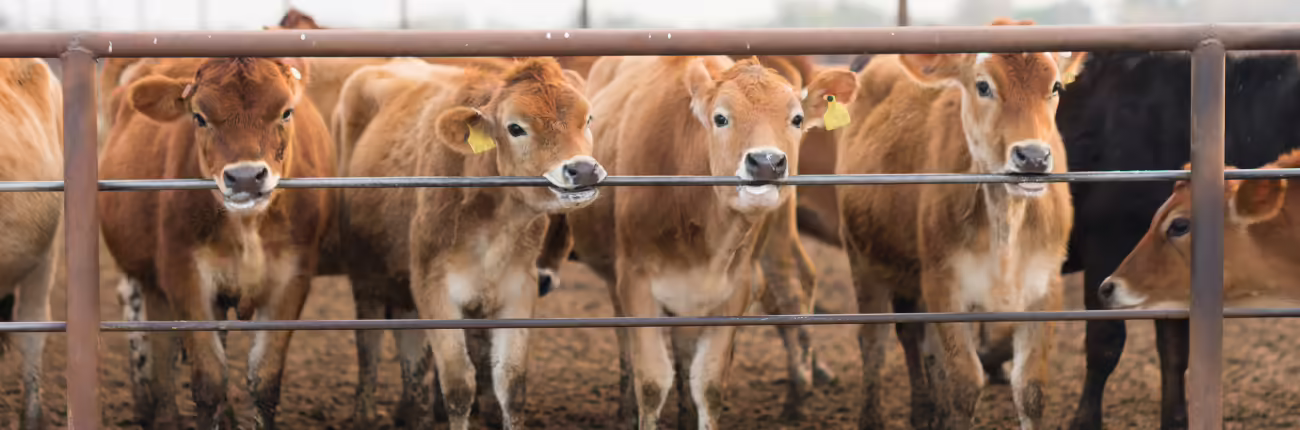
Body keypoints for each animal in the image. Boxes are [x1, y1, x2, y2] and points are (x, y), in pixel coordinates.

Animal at [99, 57, 335, 429]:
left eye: (286, 112)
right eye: (199, 117)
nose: (245, 177)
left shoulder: (292, 279)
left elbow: (265, 379)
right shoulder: (186, 278)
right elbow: (208, 379)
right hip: (142, 271)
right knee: (151, 339)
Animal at [333, 57, 605, 429]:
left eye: (587, 119)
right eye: (515, 128)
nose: (583, 169)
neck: (495, 224)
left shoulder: (518, 290)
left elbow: (511, 384)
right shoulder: (434, 289)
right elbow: (459, 385)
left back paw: (412, 412)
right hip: (366, 274)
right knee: (368, 344)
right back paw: (365, 413)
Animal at [564, 55, 851, 429]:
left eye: (797, 118)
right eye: (721, 118)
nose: (767, 163)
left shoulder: (734, 290)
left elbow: (709, 385)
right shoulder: (636, 283)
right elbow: (652, 383)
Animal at [836, 18, 1079, 429]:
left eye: (1056, 87)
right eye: (983, 86)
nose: (1032, 156)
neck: (1005, 221)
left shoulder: (1045, 288)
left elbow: (1030, 388)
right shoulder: (943, 285)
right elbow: (965, 383)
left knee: (920, 344)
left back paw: (927, 410)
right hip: (862, 258)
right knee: (874, 342)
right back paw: (875, 416)